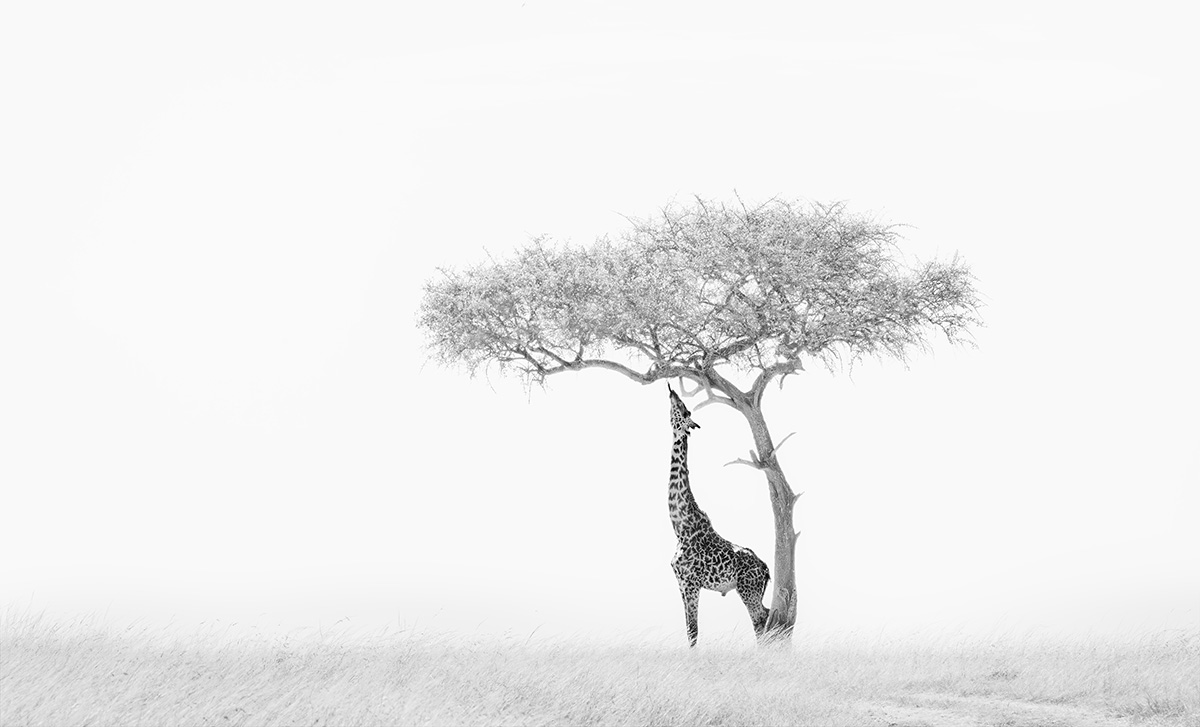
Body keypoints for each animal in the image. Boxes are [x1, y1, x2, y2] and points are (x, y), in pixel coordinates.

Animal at [666, 385, 771, 646]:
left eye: (685, 410)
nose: (671, 391)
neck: (680, 527)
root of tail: (765, 568)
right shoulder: (681, 583)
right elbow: (689, 629)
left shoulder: (691, 583)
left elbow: (693, 631)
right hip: (752, 590)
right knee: (765, 619)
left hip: (747, 589)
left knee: (760, 620)